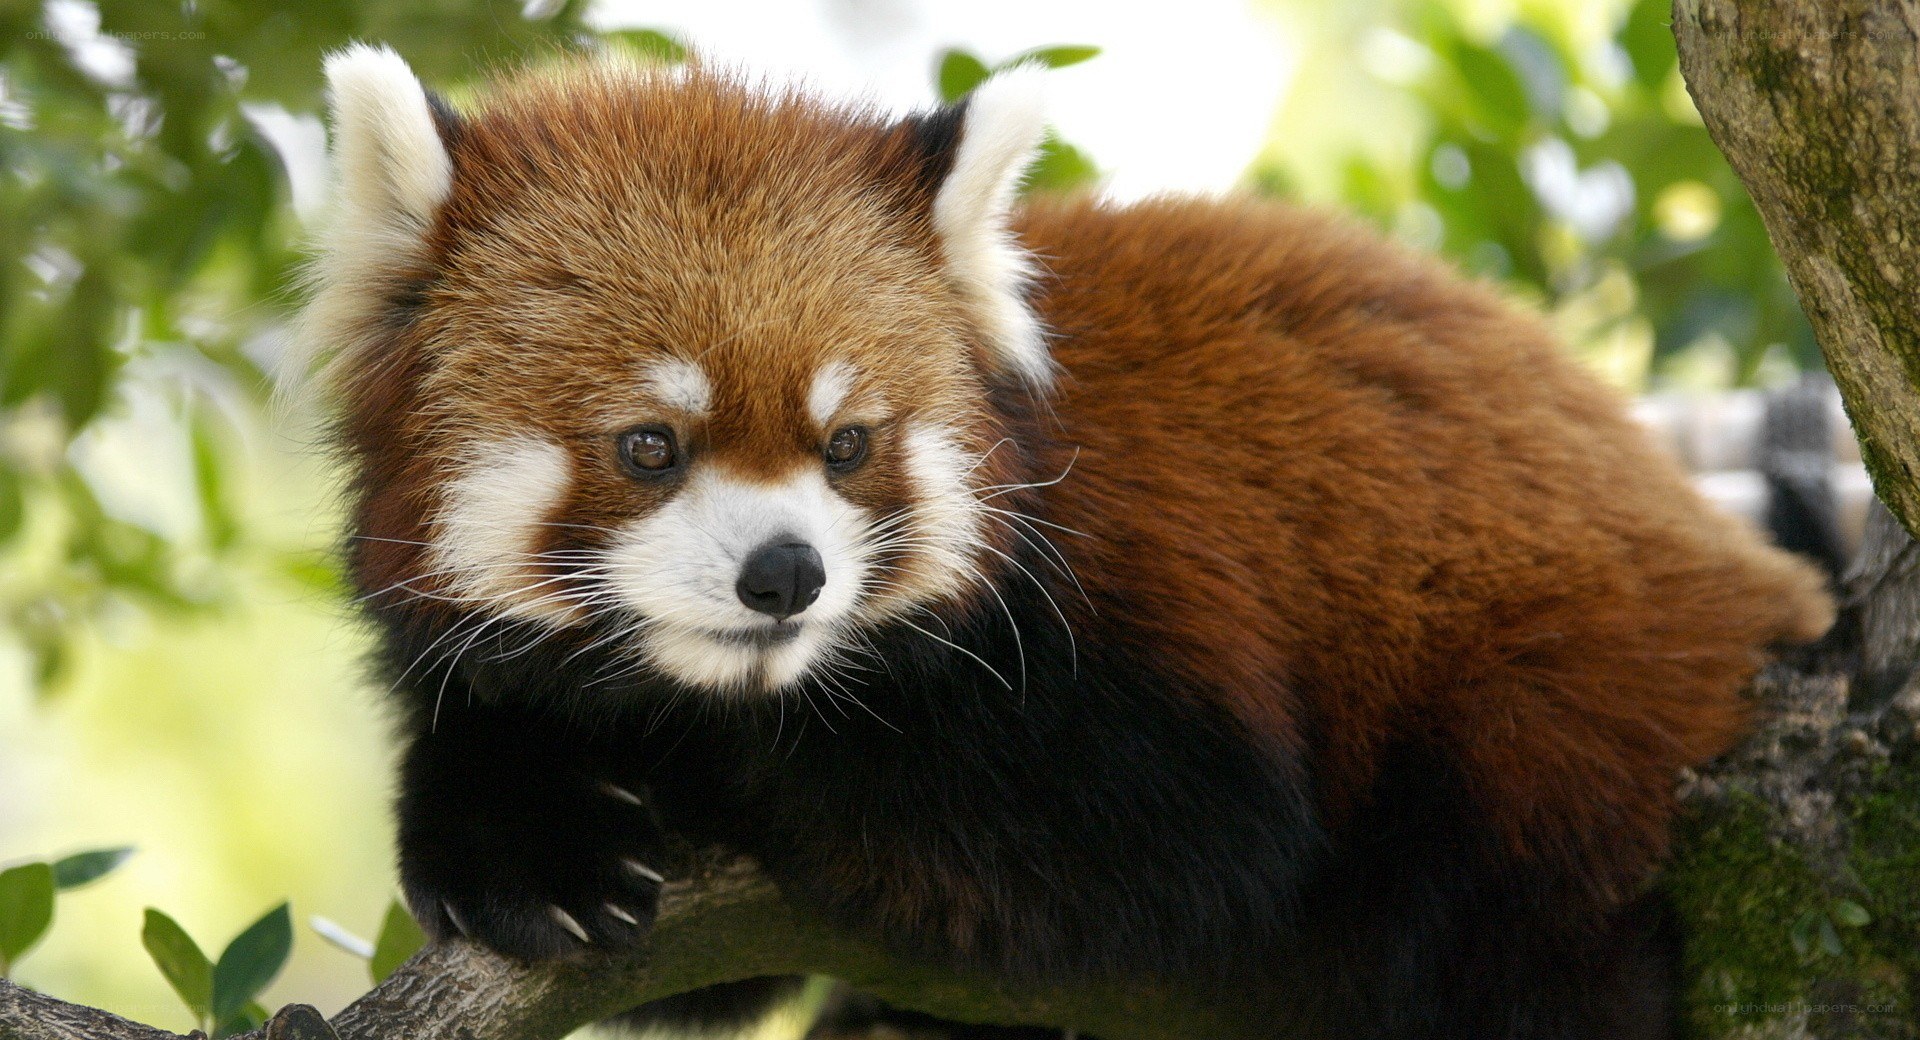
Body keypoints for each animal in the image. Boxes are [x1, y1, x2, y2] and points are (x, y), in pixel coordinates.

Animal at [303, 43, 1835, 1040]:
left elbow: (1140, 843)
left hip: (1542, 727)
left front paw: (713, 772)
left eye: (847, 443)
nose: (786, 576)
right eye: (648, 447)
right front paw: (520, 828)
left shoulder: (1140, 628)